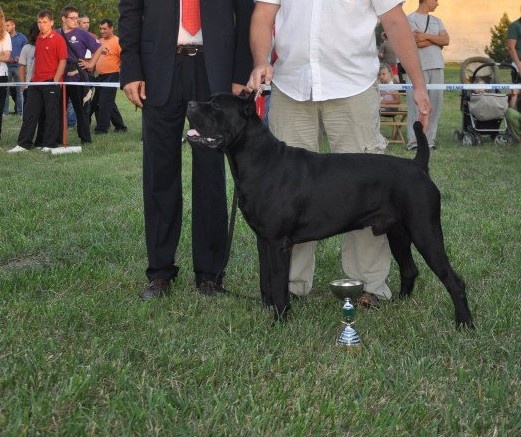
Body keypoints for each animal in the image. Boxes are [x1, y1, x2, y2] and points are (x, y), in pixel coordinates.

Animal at [185, 93, 474, 328]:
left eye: (216, 105)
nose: (189, 103)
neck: (259, 159)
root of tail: (418, 165)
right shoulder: (264, 240)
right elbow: (266, 280)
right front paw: (269, 309)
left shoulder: (279, 243)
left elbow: (278, 283)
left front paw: (280, 321)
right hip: (398, 233)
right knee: (409, 269)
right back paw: (400, 306)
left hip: (425, 232)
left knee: (454, 281)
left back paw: (465, 324)